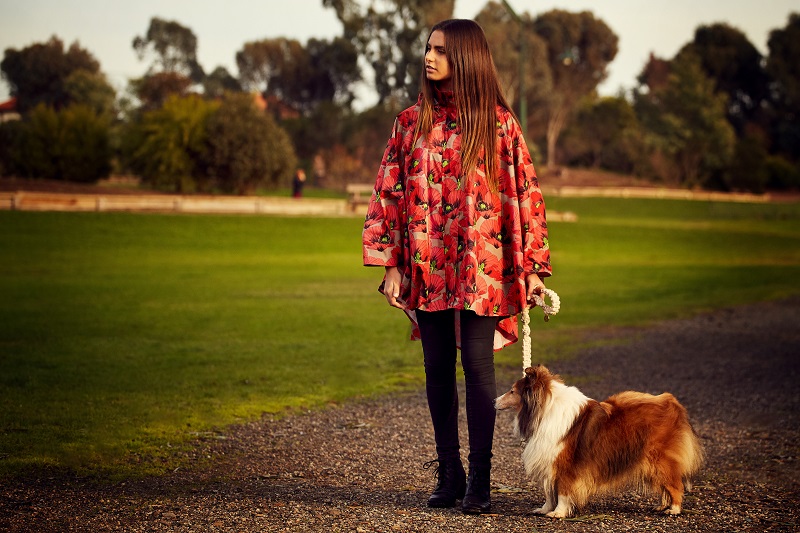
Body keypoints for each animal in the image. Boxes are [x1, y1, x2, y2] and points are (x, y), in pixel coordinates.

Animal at [496, 364, 704, 516]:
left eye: (512, 391)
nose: (493, 401)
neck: (545, 409)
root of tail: (672, 403)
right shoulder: (549, 461)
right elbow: (549, 491)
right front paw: (545, 509)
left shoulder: (564, 464)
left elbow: (562, 491)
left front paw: (558, 513)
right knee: (666, 486)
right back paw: (662, 506)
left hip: (660, 461)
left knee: (675, 485)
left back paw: (673, 510)